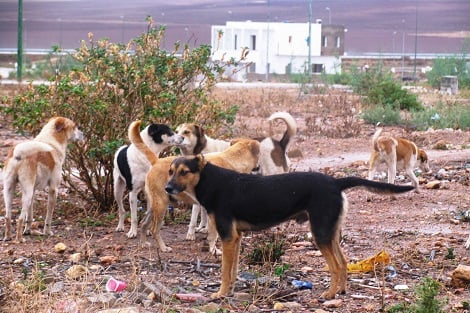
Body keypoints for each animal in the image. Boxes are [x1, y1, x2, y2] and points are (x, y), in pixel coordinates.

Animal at [126, 120, 258, 252]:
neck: (231, 159)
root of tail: (156, 161)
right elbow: (213, 235)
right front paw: (213, 250)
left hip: (155, 205)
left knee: (143, 224)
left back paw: (143, 243)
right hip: (161, 206)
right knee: (154, 230)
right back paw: (163, 248)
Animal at [165, 155, 414, 298]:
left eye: (184, 172)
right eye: (170, 171)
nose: (167, 188)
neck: (210, 180)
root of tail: (335, 182)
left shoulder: (227, 236)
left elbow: (225, 272)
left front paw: (220, 294)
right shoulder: (235, 238)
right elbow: (232, 270)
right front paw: (230, 291)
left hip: (320, 233)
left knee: (334, 266)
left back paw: (329, 295)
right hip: (330, 232)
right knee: (343, 263)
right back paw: (341, 291)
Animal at [176, 111, 298, 239]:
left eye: (186, 132)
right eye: (176, 131)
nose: (176, 138)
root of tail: (279, 144)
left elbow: (194, 217)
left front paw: (192, 234)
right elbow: (204, 213)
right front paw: (203, 228)